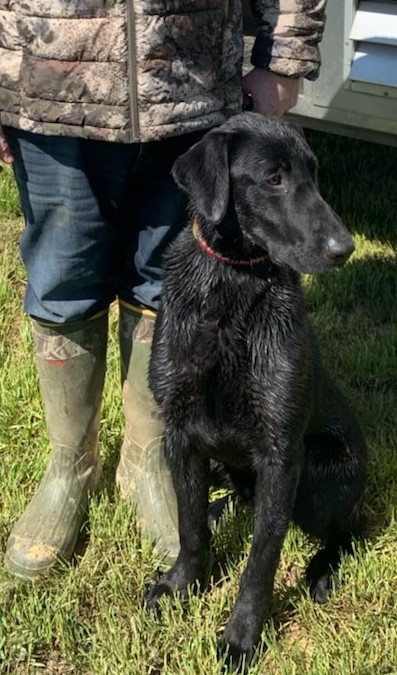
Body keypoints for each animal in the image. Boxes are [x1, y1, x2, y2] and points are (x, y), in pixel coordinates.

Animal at [145, 112, 366, 672]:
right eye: (274, 179)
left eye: (314, 174)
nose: (344, 249)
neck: (230, 286)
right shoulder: (180, 435)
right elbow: (190, 527)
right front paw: (182, 585)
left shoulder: (281, 455)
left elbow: (261, 560)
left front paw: (242, 636)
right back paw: (222, 507)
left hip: (320, 477)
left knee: (349, 527)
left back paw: (323, 569)